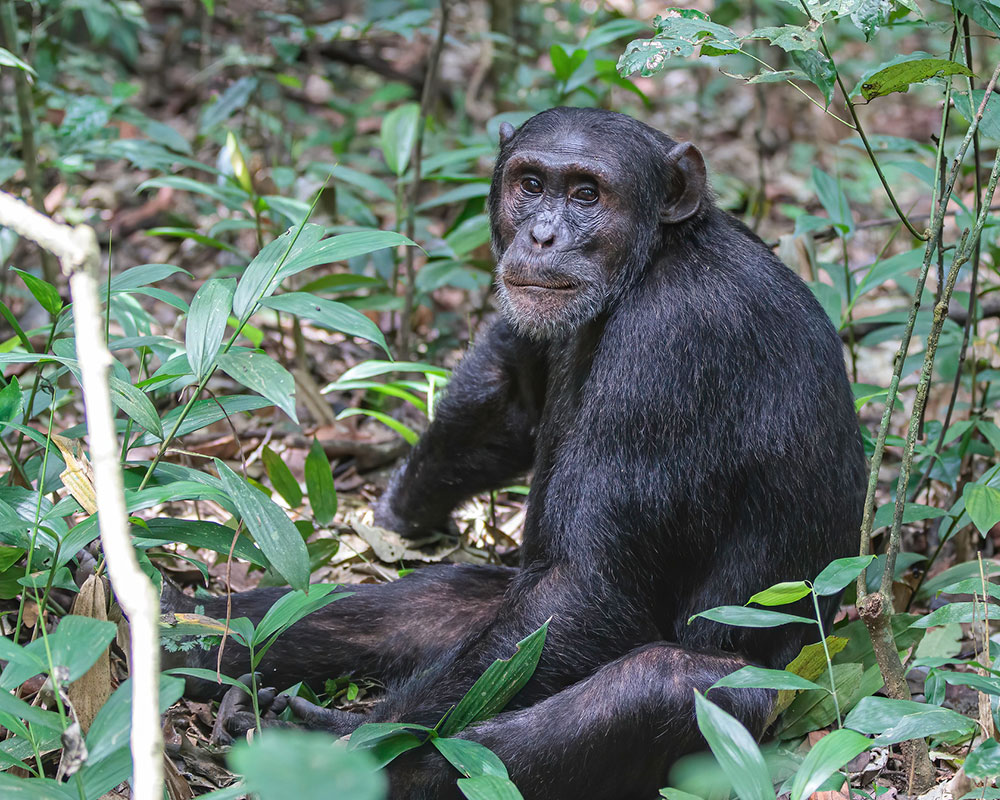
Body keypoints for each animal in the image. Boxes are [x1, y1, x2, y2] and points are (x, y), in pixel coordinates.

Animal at [168, 108, 864, 800]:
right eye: (530, 184)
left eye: (587, 195)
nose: (544, 234)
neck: (654, 261)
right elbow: (509, 400)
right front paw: (394, 513)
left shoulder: (674, 341)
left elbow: (585, 590)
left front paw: (353, 738)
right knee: (425, 604)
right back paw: (179, 626)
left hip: (763, 710)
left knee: (654, 686)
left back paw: (336, 760)